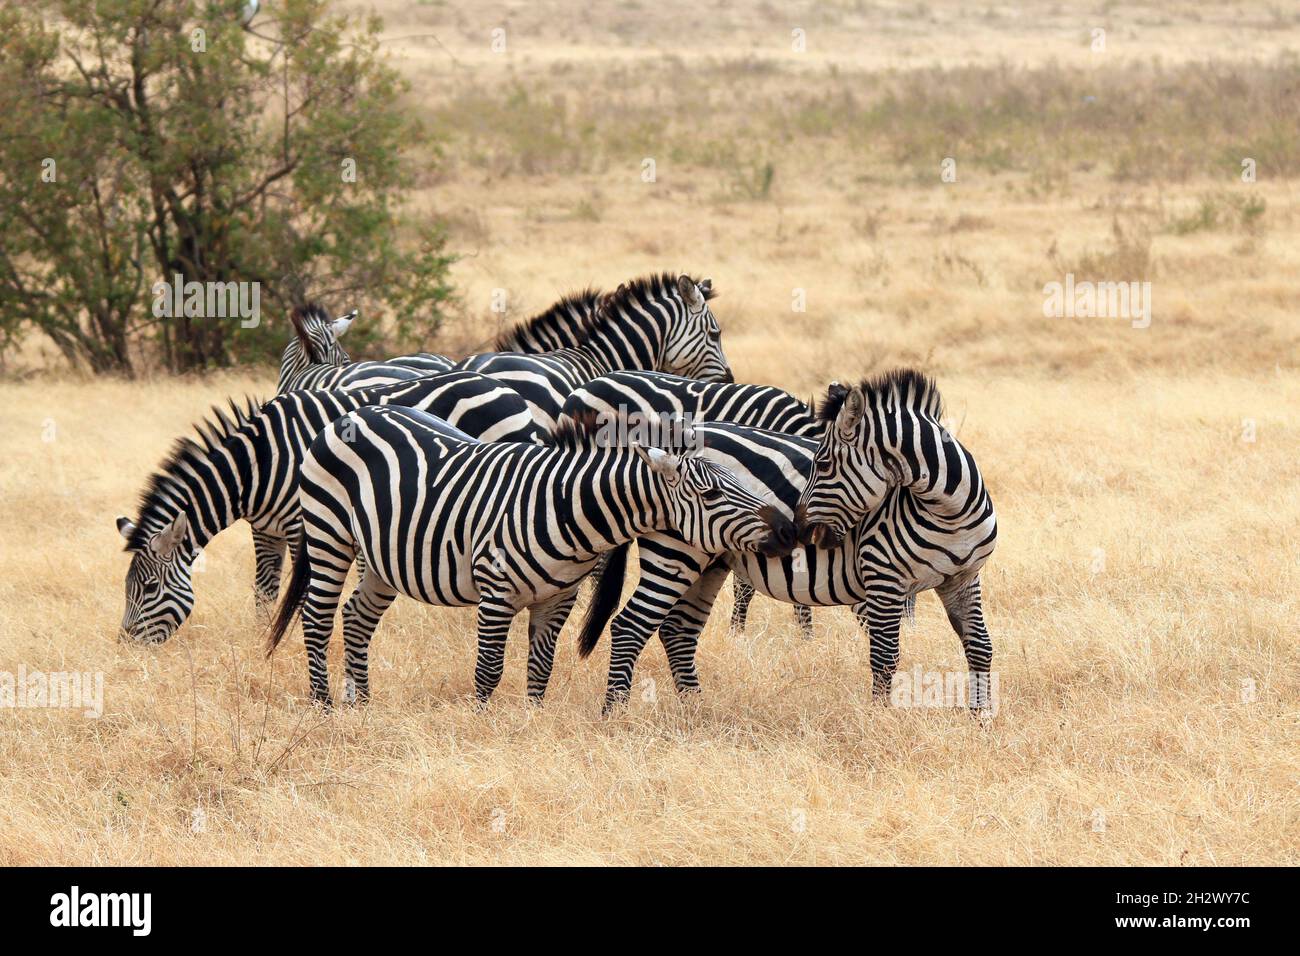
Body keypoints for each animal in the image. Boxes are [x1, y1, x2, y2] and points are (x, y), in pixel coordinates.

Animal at [111, 369, 538, 647]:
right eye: (128, 587)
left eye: (149, 588)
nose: (126, 644)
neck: (257, 466)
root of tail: (503, 387)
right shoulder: (264, 528)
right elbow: (264, 589)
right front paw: (263, 635)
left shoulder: (301, 523)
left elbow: (300, 589)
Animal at [262, 405, 790, 712]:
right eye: (711, 492)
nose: (787, 529)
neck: (566, 507)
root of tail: (351, 414)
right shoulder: (495, 590)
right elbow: (489, 670)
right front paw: (479, 724)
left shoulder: (558, 598)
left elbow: (540, 667)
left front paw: (533, 723)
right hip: (329, 534)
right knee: (317, 616)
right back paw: (324, 705)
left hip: (382, 556)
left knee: (356, 616)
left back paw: (363, 704)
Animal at [577, 382, 993, 712]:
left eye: (822, 463)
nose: (800, 530)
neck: (948, 513)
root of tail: (667, 446)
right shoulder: (883, 578)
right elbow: (885, 657)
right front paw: (882, 720)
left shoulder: (964, 578)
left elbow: (981, 647)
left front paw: (981, 720)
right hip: (675, 551)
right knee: (631, 626)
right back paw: (616, 715)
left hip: (710, 559)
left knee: (677, 631)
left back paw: (695, 710)